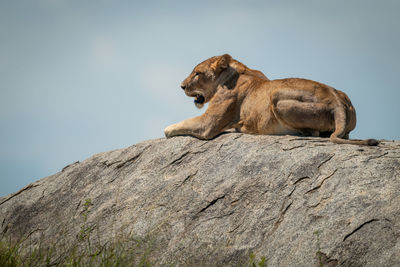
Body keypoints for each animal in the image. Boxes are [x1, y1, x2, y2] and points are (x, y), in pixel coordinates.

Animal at [164, 54, 380, 147]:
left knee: (315, 133)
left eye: (197, 73)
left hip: (276, 96)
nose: (182, 86)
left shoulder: (208, 124)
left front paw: (167, 131)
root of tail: (336, 101)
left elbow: (173, 127)